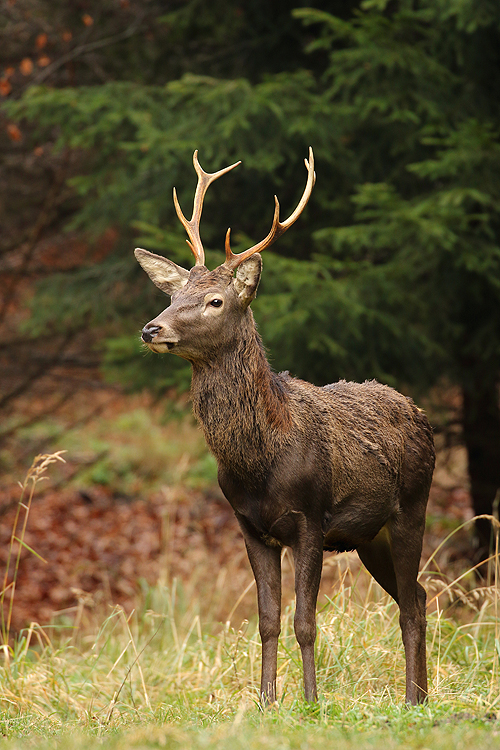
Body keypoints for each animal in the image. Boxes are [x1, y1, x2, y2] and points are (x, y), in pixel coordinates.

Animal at [135, 150, 436, 708]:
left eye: (215, 301)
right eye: (174, 293)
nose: (152, 328)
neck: (258, 462)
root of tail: (419, 412)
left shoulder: (310, 518)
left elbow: (305, 622)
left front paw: (312, 702)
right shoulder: (250, 526)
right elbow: (268, 621)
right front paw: (266, 700)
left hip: (413, 505)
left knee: (410, 604)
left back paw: (412, 700)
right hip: (370, 535)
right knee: (422, 596)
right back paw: (422, 696)